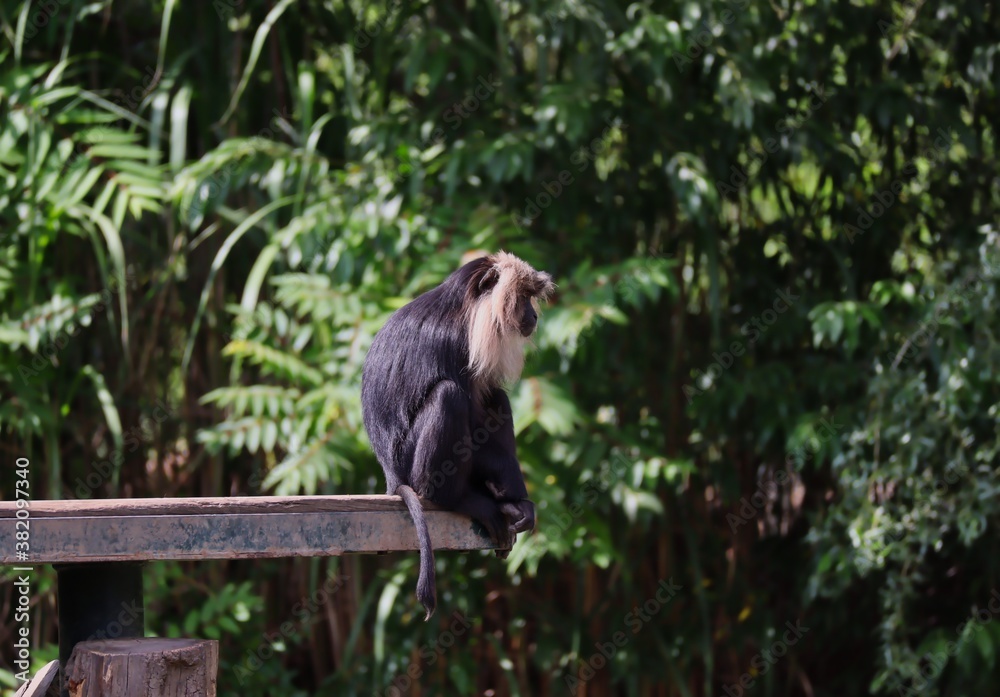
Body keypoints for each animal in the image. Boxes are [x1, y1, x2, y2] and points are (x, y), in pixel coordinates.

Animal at [361, 251, 555, 620]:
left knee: (496, 396)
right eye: (523, 297)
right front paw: (513, 487)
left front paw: (515, 500)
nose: (534, 315)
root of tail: (392, 476)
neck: (461, 312)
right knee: (447, 394)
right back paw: (454, 497)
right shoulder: (454, 343)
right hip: (410, 461)